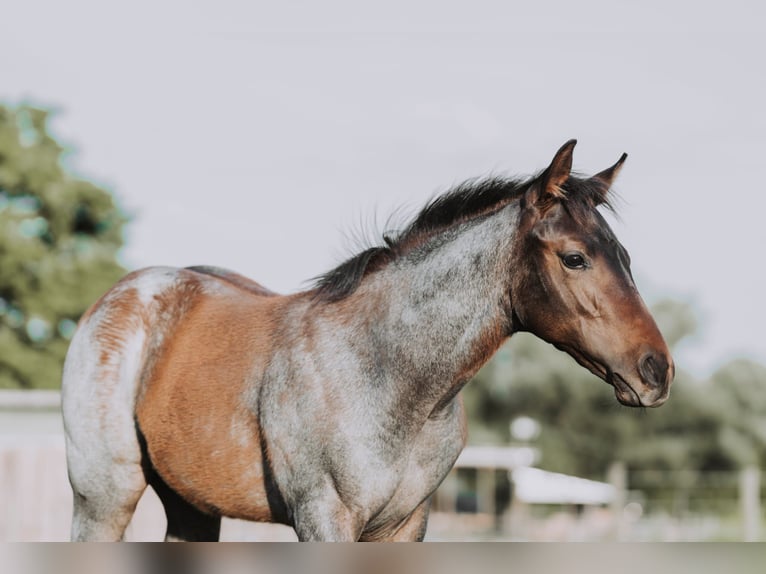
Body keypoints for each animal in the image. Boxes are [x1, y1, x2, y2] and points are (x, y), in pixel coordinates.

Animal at [63, 142, 676, 544]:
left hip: (192, 506)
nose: (657, 371)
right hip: (104, 498)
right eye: (574, 258)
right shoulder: (324, 519)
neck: (385, 373)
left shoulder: (406, 526)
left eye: (624, 256)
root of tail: (123, 295)